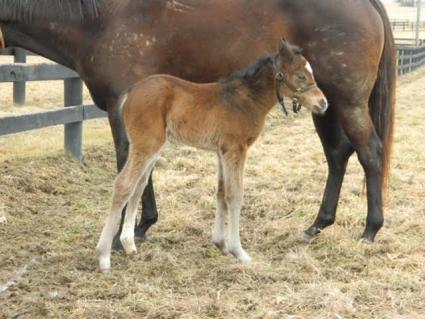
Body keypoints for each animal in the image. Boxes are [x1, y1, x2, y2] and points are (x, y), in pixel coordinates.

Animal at [1, 0, 396, 246]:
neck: (100, 23)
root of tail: (368, 5)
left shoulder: (120, 110)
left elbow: (129, 167)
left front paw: (126, 233)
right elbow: (143, 169)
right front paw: (142, 225)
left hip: (347, 101)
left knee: (369, 153)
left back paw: (370, 230)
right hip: (322, 104)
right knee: (337, 154)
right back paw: (318, 224)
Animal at [97, 38, 328, 272]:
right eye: (301, 76)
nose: (323, 103)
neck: (245, 100)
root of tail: (131, 90)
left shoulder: (221, 152)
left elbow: (221, 192)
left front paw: (220, 243)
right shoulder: (236, 149)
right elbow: (235, 195)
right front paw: (239, 251)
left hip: (152, 148)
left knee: (139, 184)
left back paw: (128, 244)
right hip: (146, 145)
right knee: (123, 184)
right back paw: (104, 256)